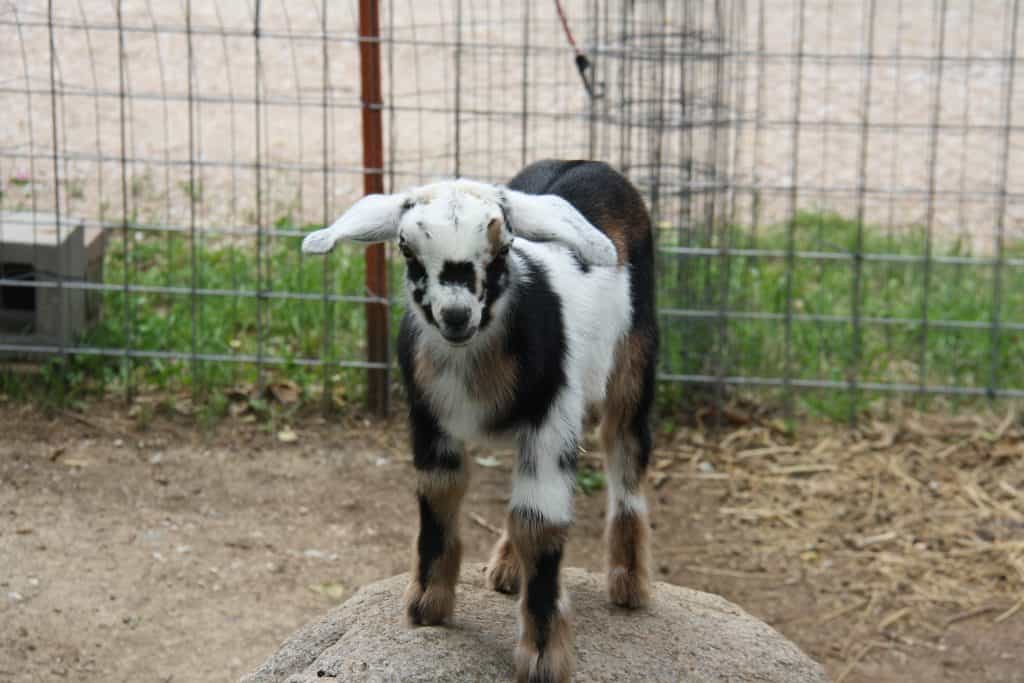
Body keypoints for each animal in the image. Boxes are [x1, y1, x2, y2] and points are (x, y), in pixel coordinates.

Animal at [302, 160, 658, 683]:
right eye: (406, 248)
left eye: (504, 246)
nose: (455, 314)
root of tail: (589, 164)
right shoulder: (428, 419)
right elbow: (439, 497)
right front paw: (427, 606)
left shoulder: (552, 417)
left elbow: (539, 521)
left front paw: (543, 655)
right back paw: (508, 568)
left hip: (635, 356)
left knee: (624, 450)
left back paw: (629, 584)